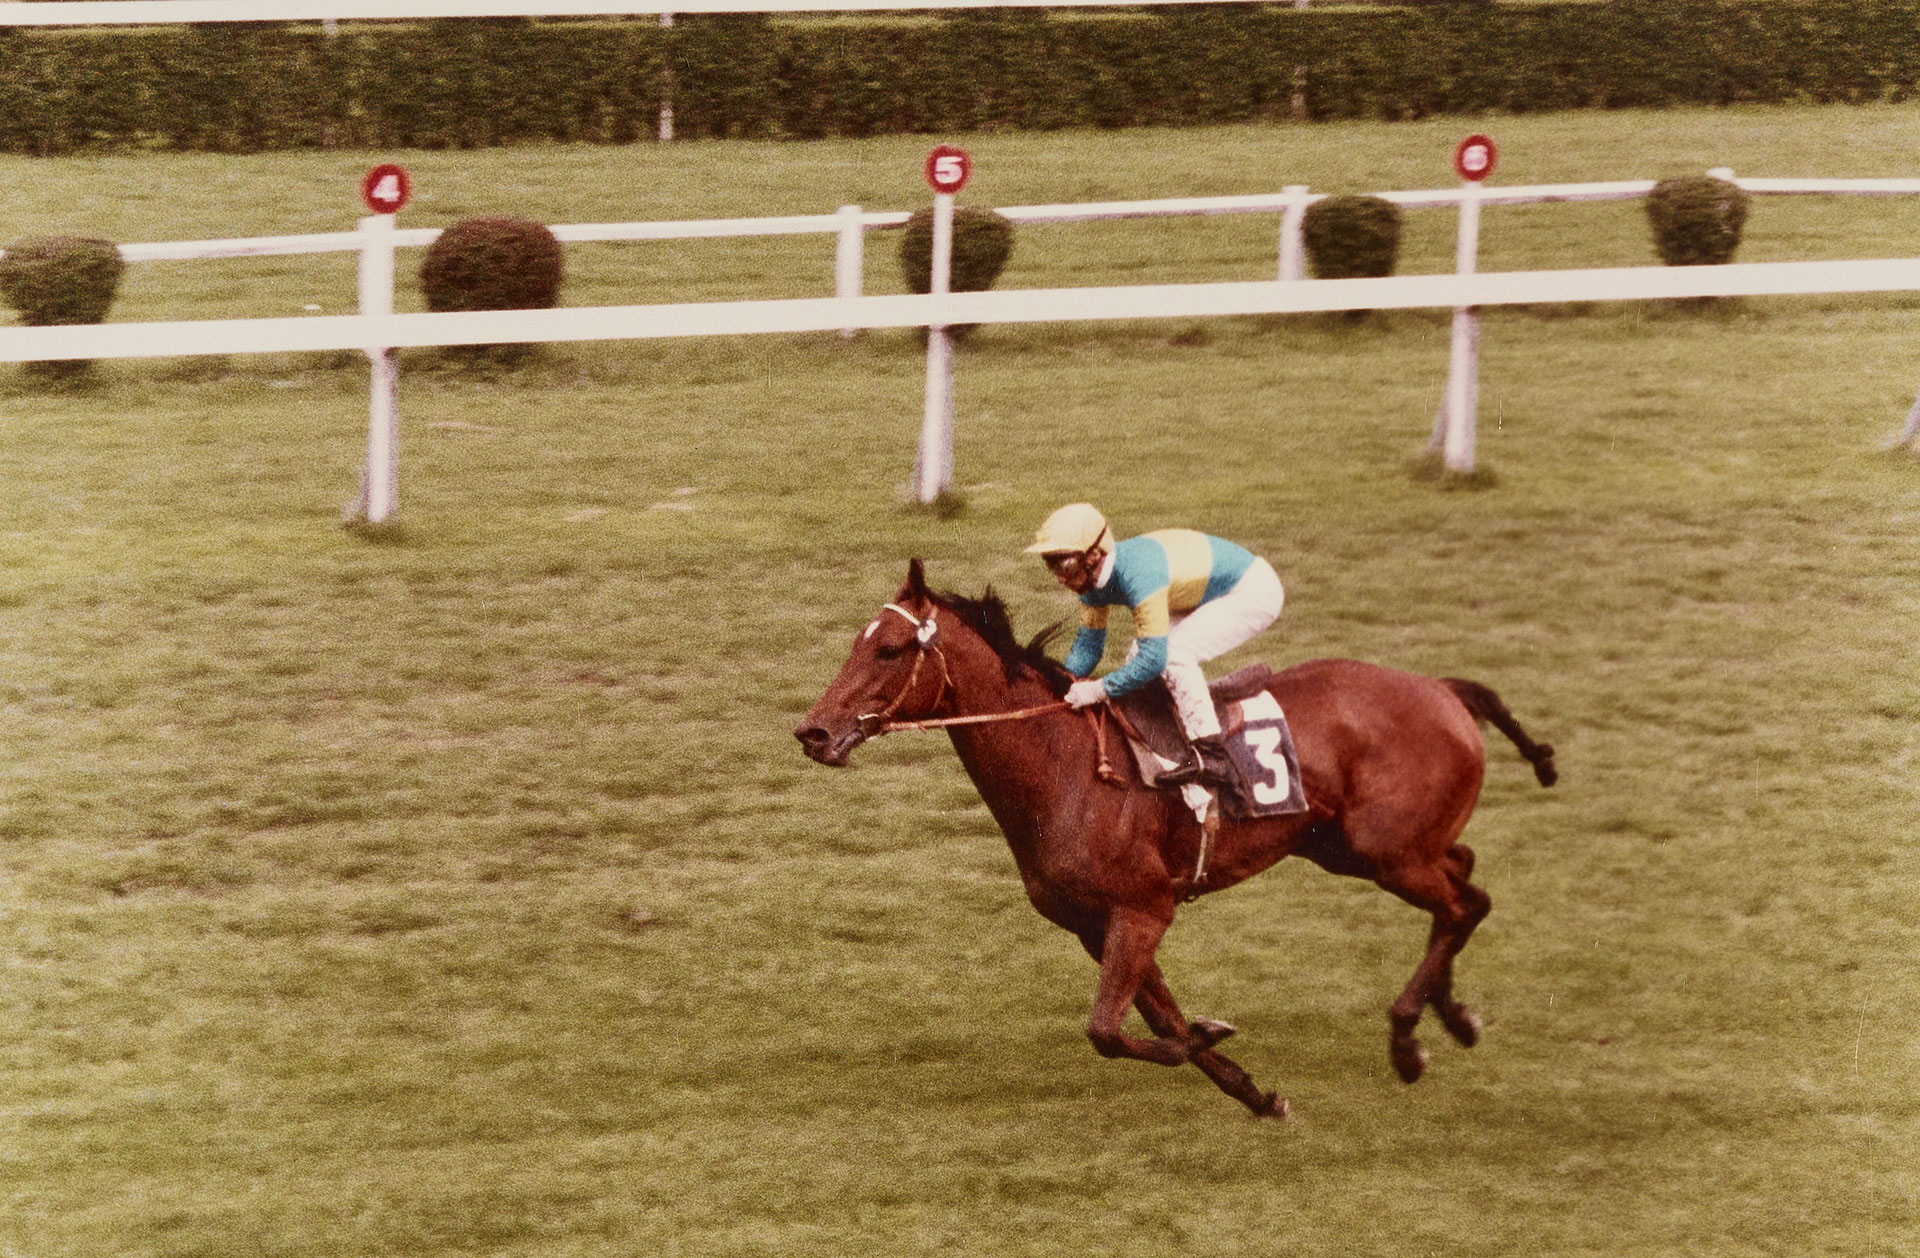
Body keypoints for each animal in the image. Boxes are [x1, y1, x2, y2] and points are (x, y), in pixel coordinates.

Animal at [794, 564, 1559, 1121]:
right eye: (856, 642)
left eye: (889, 648)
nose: (814, 732)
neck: (1067, 768)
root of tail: (1440, 687)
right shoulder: (1096, 924)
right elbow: (1157, 1019)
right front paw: (1254, 1090)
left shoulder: (1142, 910)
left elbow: (1108, 1031)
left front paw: (1216, 1036)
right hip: (1352, 847)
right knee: (1462, 882)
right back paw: (1452, 1017)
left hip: (1385, 852)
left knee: (1466, 903)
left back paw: (1407, 1038)